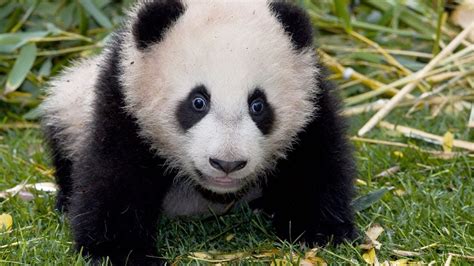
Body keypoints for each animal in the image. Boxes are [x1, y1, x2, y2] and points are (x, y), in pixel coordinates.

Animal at [40, 0, 356, 262]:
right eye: (198, 102)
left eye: (258, 105)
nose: (227, 163)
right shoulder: (123, 96)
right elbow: (114, 174)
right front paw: (120, 252)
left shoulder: (311, 101)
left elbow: (316, 165)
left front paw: (319, 232)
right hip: (70, 105)